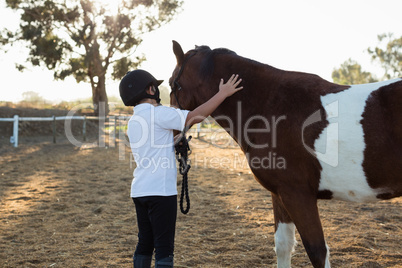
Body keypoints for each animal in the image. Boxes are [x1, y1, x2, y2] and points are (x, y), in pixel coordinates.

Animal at [168, 40, 400, 268]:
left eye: (172, 84)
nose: (173, 134)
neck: (272, 107)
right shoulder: (280, 193)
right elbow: (283, 245)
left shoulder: (298, 194)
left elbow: (317, 251)